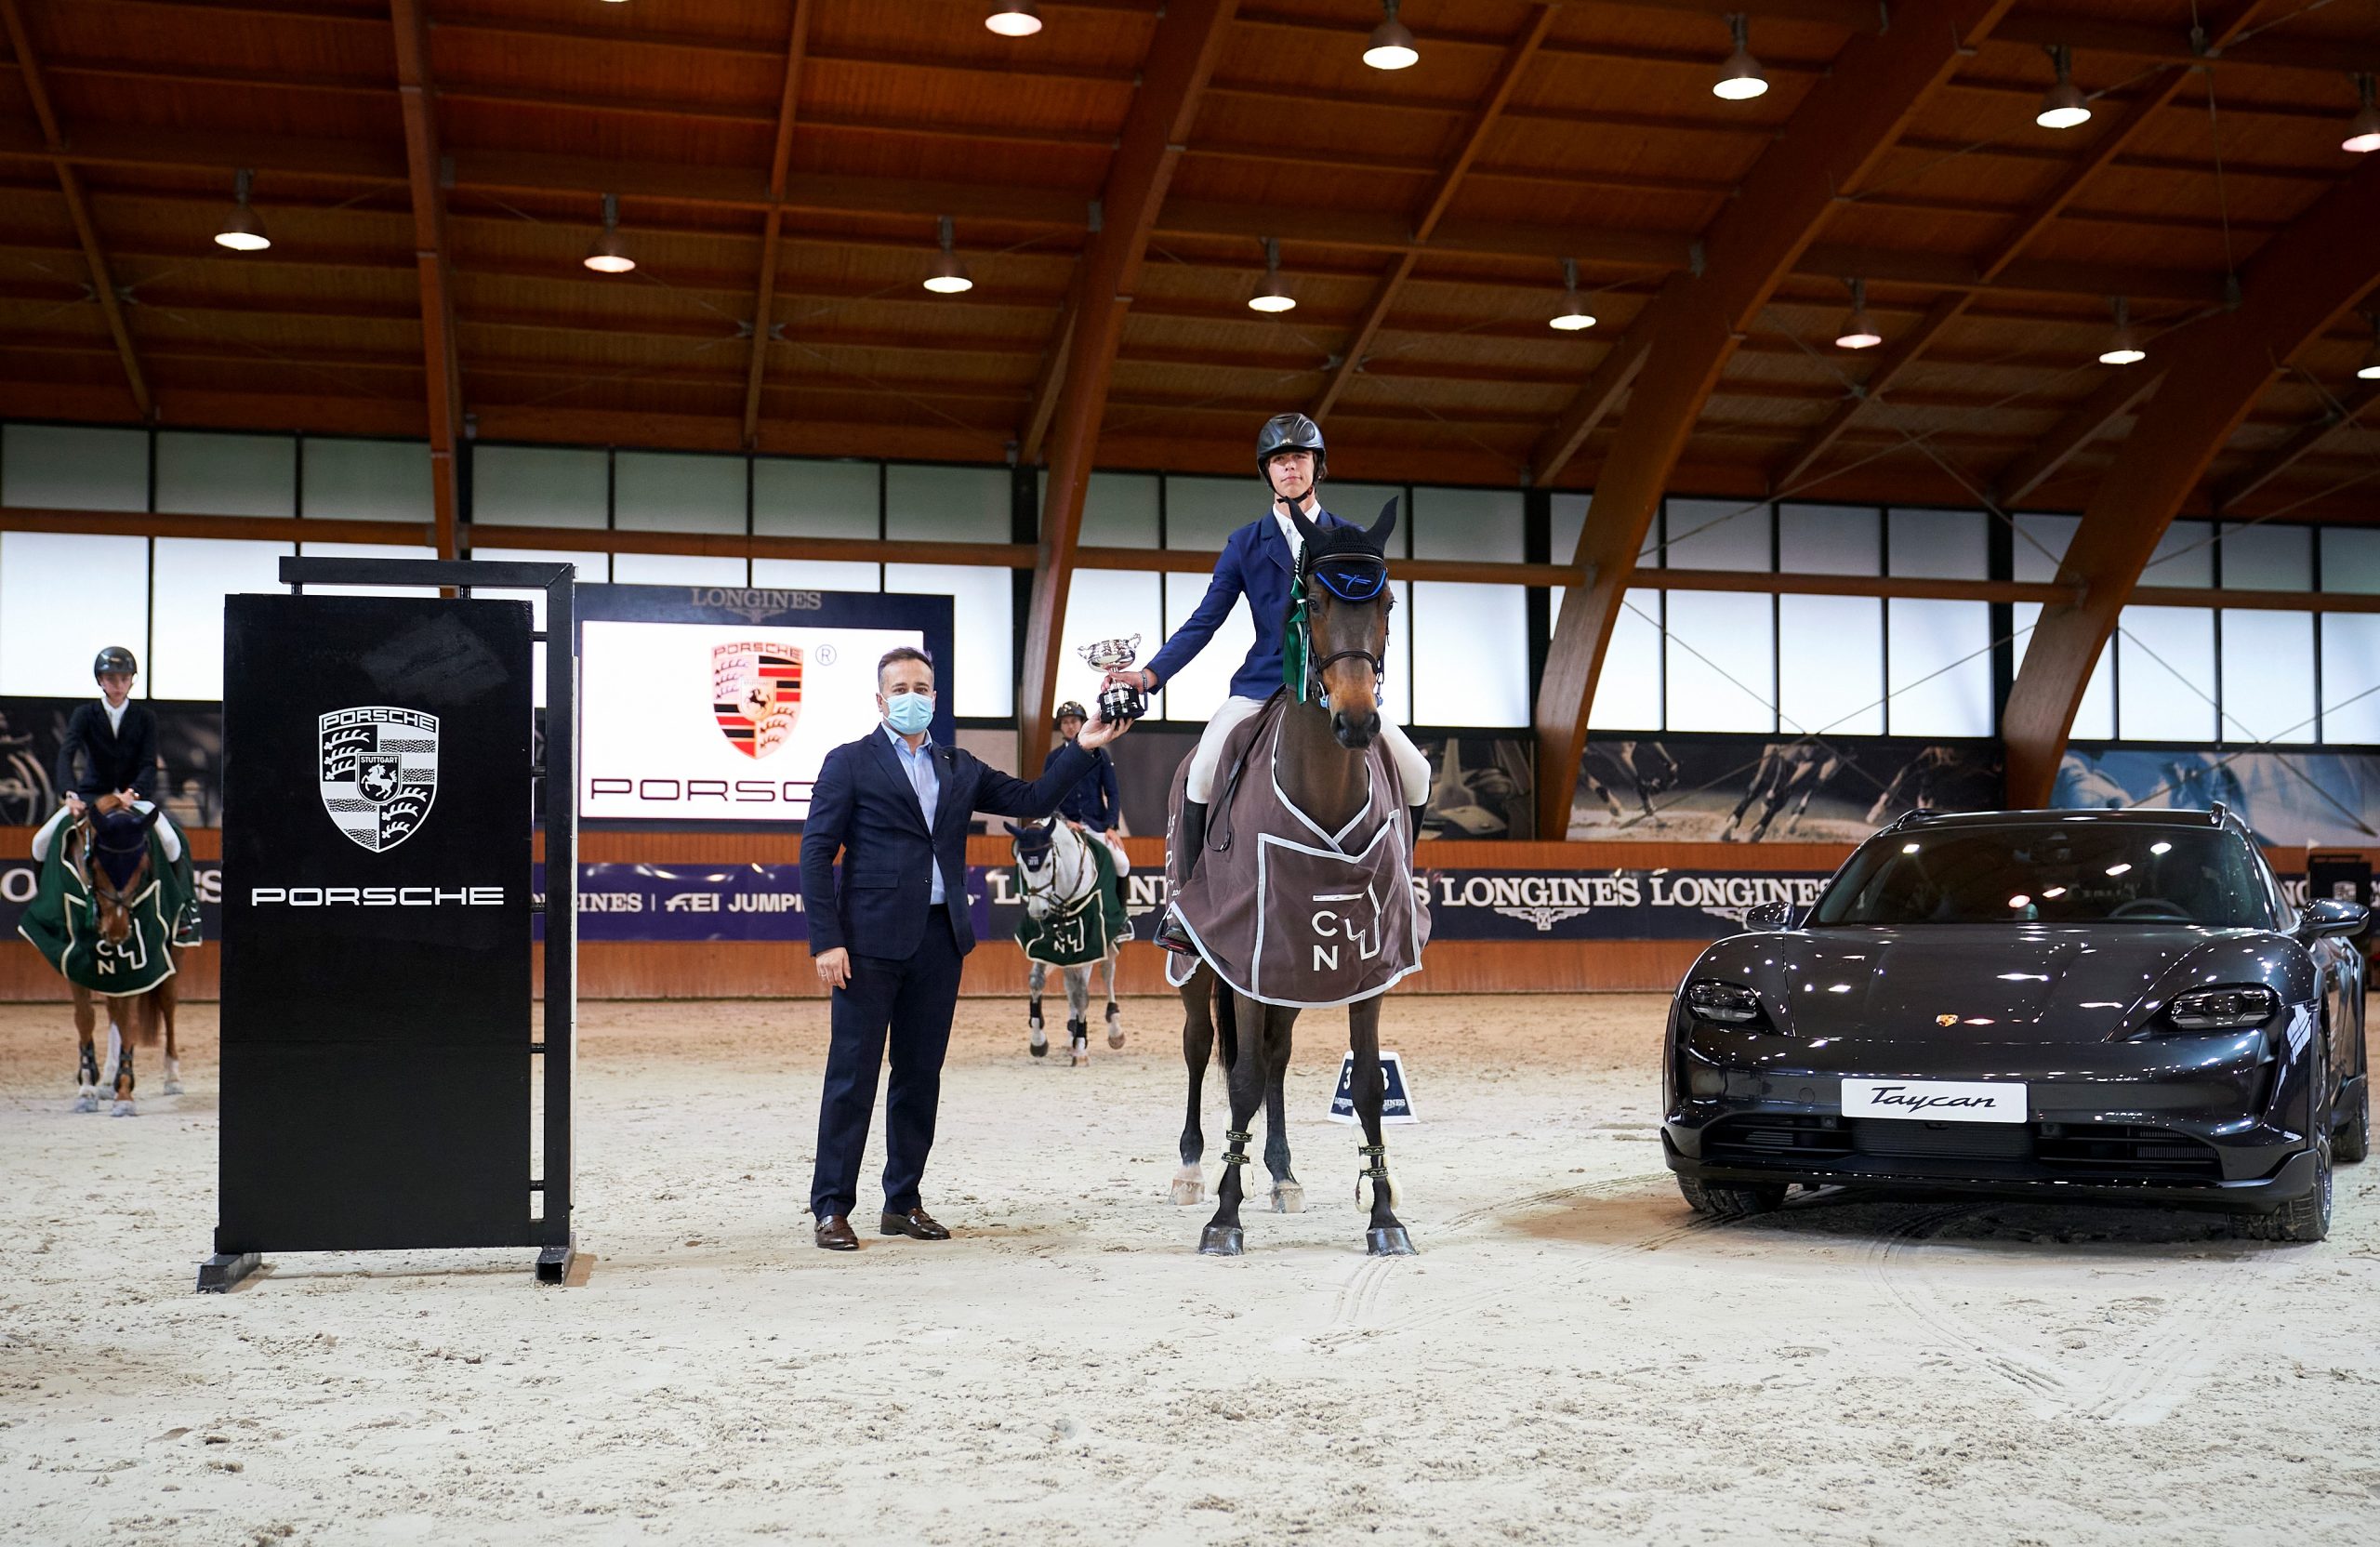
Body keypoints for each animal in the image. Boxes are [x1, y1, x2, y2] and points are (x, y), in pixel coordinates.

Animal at [1170, 502, 1408, 1256]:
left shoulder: (1361, 957)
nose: (1358, 721)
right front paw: (1224, 1216)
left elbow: (1366, 1083)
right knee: (1202, 1048)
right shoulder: (1245, 951)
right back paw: (1191, 1170)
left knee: (1276, 1054)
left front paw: (1384, 1217)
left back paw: (1280, 1173)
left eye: (1386, 603)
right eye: (1317, 602)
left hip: (1294, 972)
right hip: (1201, 960)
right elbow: (1240, 1077)